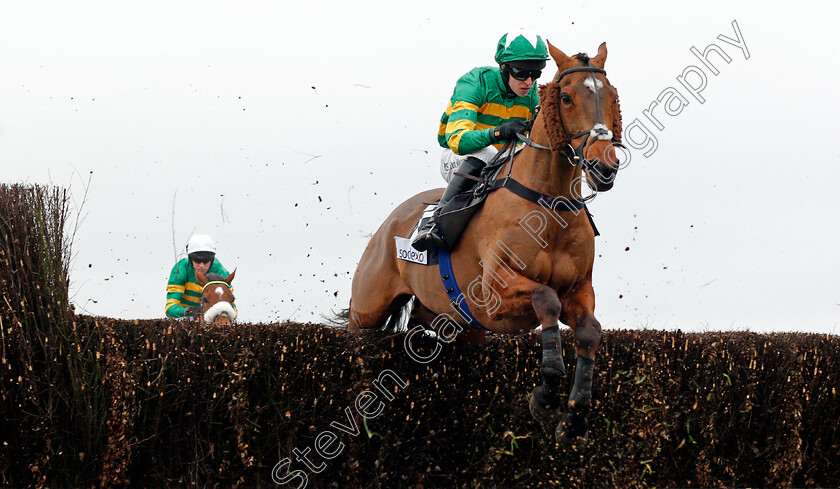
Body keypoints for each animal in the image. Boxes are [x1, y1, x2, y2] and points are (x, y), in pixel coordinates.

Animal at [344, 42, 620, 442]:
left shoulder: (579, 289)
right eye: (566, 97)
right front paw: (546, 394)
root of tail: (386, 226)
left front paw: (574, 414)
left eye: (611, 95)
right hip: (366, 312)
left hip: (459, 325)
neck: (547, 205)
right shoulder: (495, 292)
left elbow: (589, 332)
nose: (605, 167)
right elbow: (545, 298)